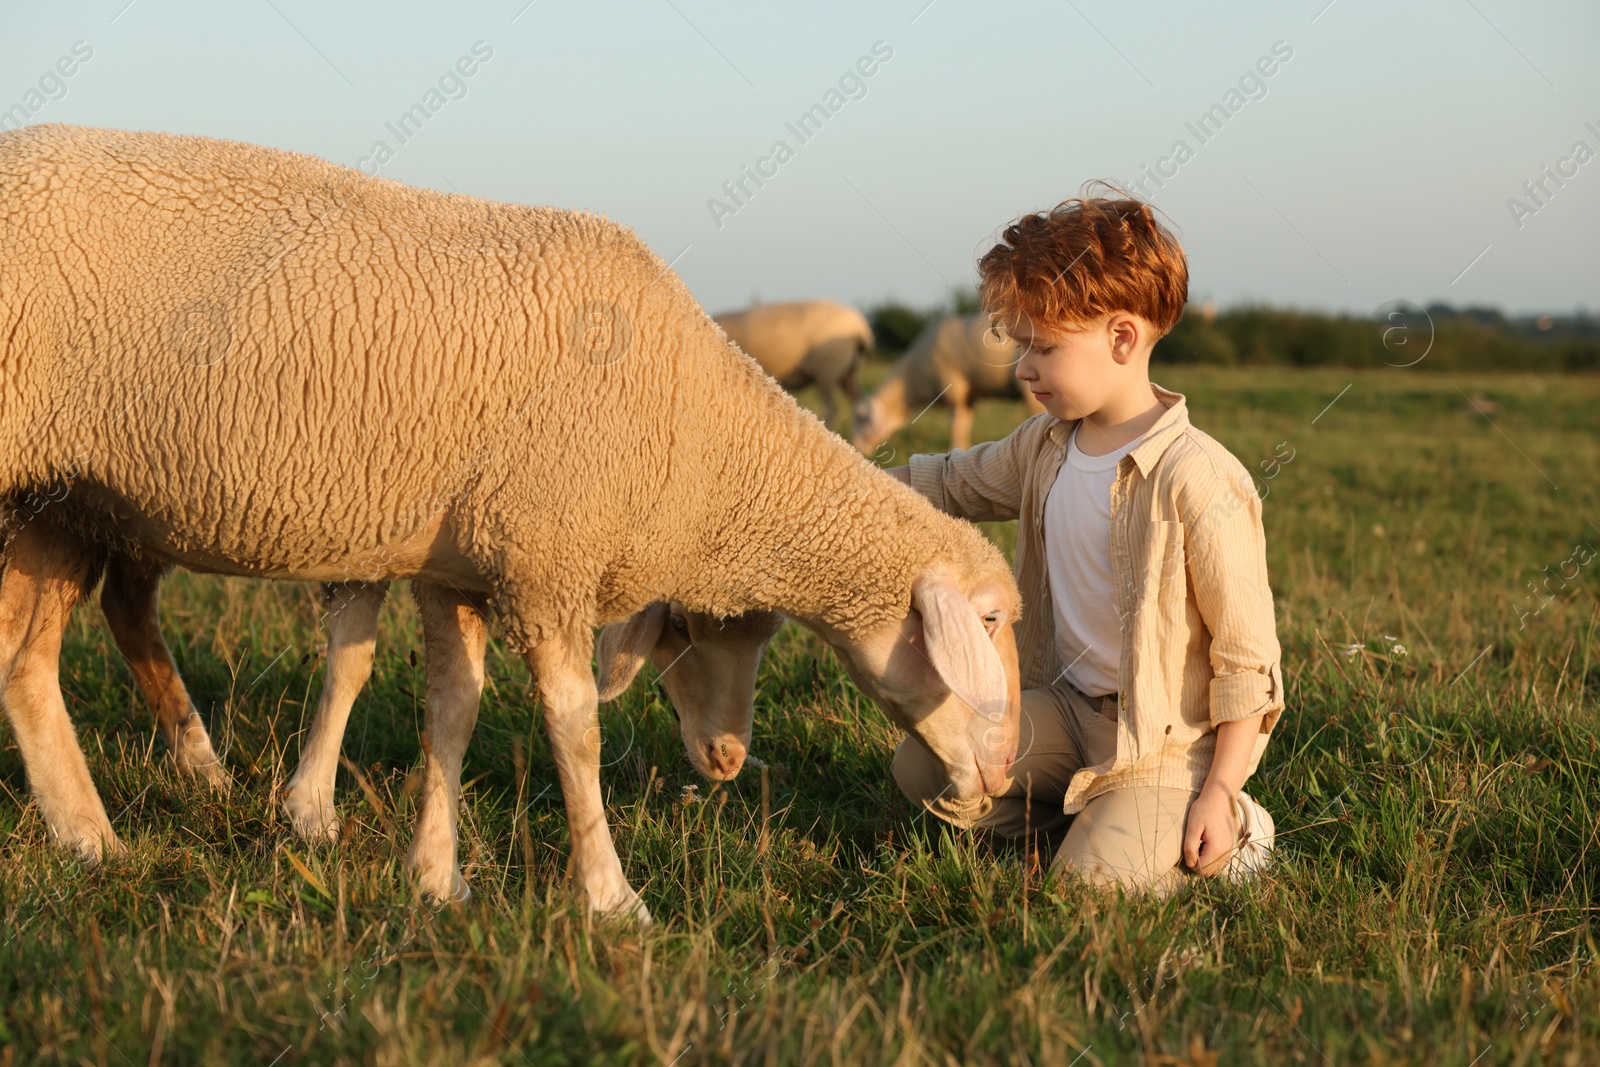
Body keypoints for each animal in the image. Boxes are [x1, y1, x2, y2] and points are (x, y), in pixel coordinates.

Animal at [851, 313, 1049, 454]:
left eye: (862, 418)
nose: (856, 447)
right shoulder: (967, 395)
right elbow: (965, 424)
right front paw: (964, 448)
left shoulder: (954, 389)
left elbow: (956, 426)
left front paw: (954, 448)